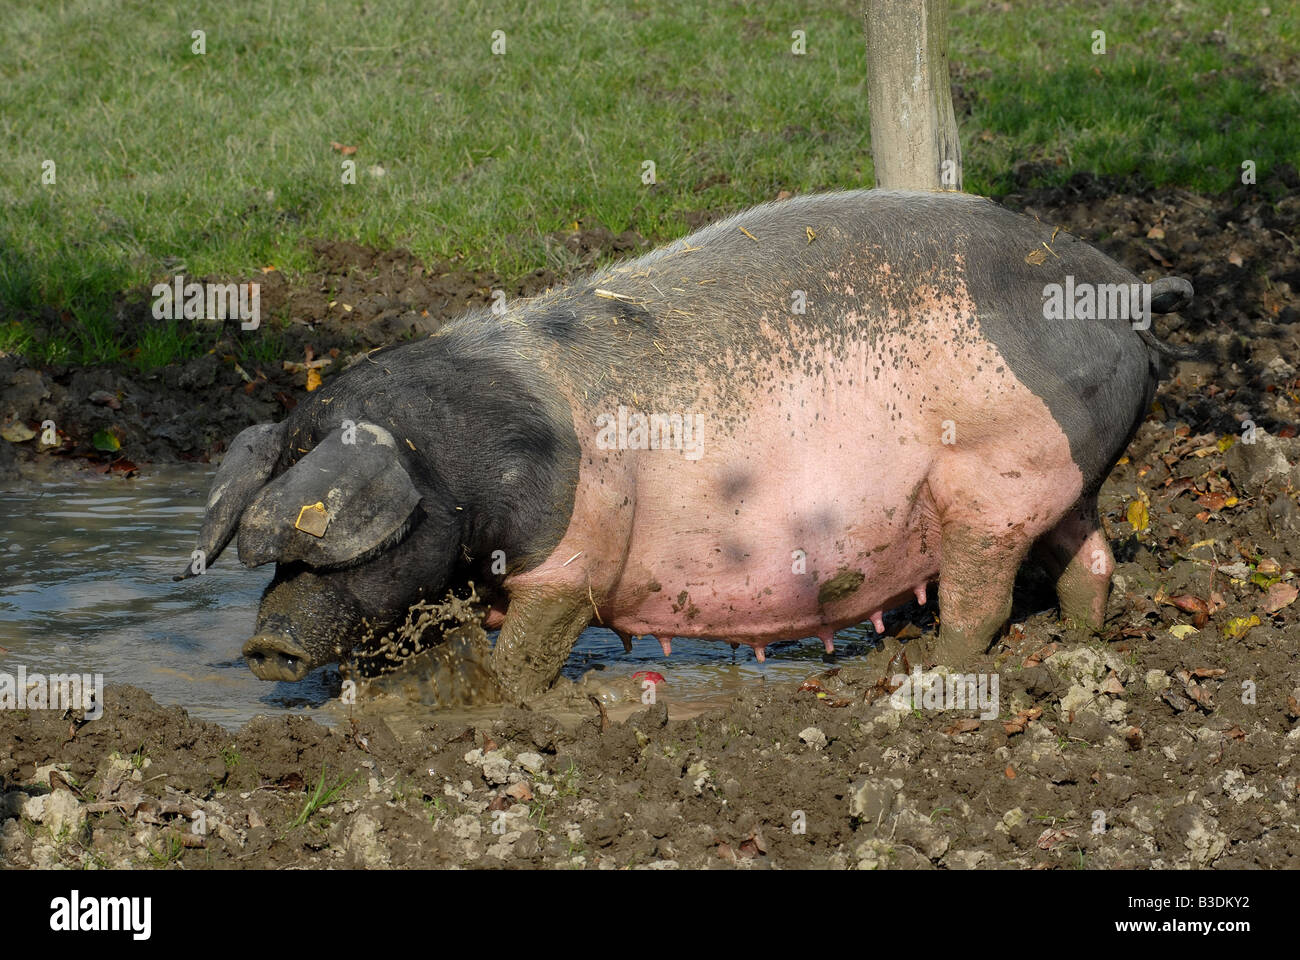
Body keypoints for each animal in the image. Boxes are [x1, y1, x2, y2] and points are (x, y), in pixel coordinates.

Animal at [180, 188, 1190, 697]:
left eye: (343, 547)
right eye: (278, 553)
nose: (264, 647)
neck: (461, 466)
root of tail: (1126, 292)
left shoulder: (578, 548)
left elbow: (539, 639)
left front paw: (500, 700)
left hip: (991, 474)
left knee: (983, 595)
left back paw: (924, 673)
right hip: (1058, 477)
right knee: (1089, 557)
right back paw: (1081, 640)